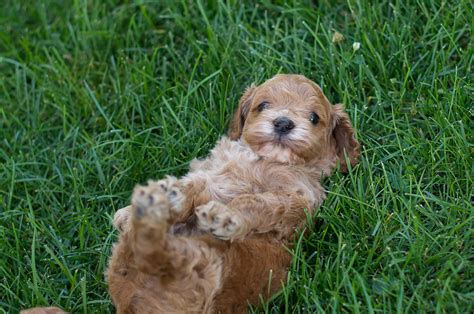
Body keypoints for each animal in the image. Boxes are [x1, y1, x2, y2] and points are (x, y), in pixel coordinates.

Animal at [106, 73, 360, 312]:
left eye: (314, 117)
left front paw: (224, 216)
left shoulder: (298, 200)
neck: (266, 159)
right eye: (263, 105)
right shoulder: (212, 171)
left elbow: (258, 201)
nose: (283, 123)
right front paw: (137, 208)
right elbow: (193, 186)